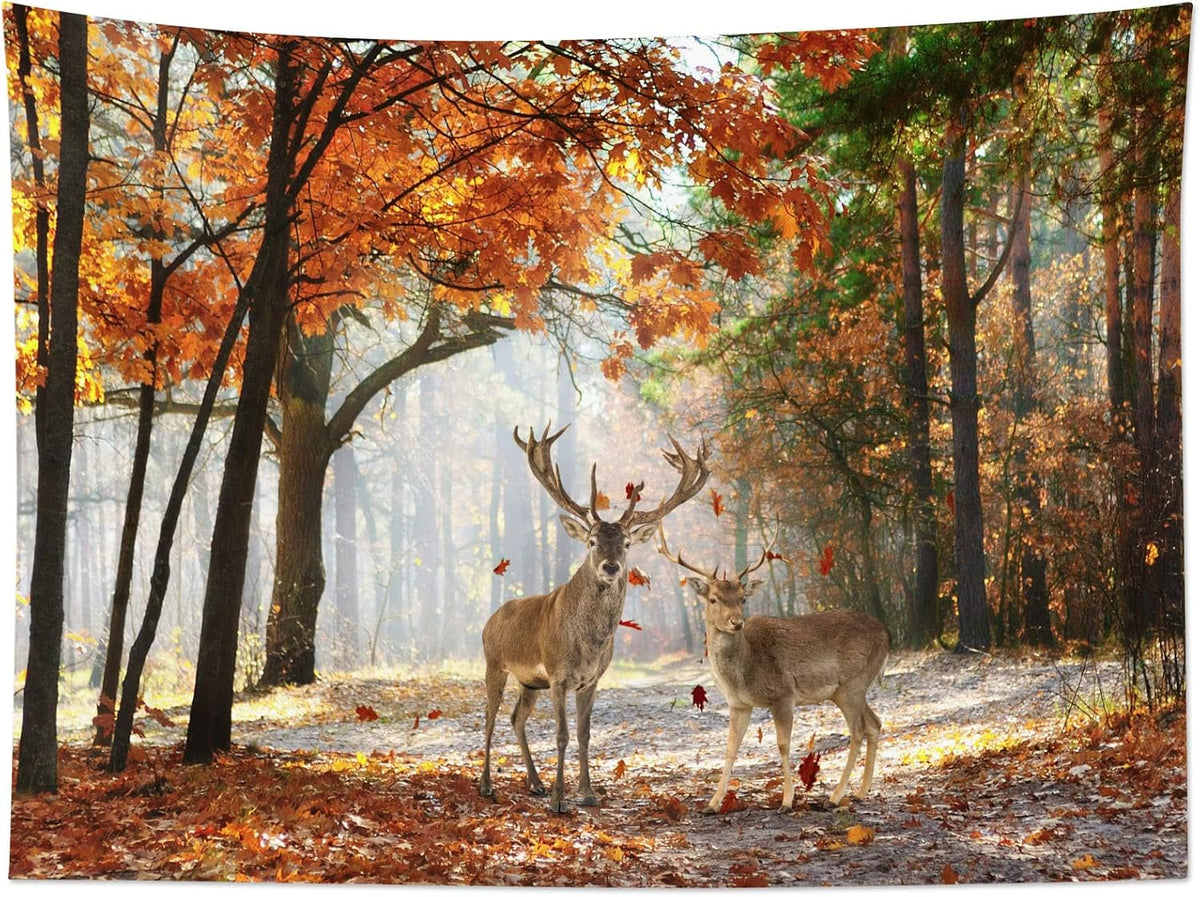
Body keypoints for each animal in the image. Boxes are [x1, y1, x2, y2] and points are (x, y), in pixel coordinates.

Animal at [480, 422, 710, 812]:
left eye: (627, 543)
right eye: (590, 541)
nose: (610, 566)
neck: (588, 644)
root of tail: (489, 620)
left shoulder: (590, 680)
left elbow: (585, 735)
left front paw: (587, 794)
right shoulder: (558, 674)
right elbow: (561, 735)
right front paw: (559, 801)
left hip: (530, 682)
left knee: (516, 718)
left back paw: (535, 783)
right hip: (494, 663)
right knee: (490, 718)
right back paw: (486, 785)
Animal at [657, 524, 890, 814]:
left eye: (743, 599)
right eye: (713, 599)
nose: (737, 622)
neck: (743, 674)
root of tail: (886, 635)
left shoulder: (783, 695)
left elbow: (783, 745)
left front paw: (787, 801)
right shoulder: (739, 704)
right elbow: (731, 748)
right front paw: (712, 804)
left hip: (852, 683)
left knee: (857, 730)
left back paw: (835, 797)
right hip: (848, 689)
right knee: (874, 723)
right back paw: (859, 792)